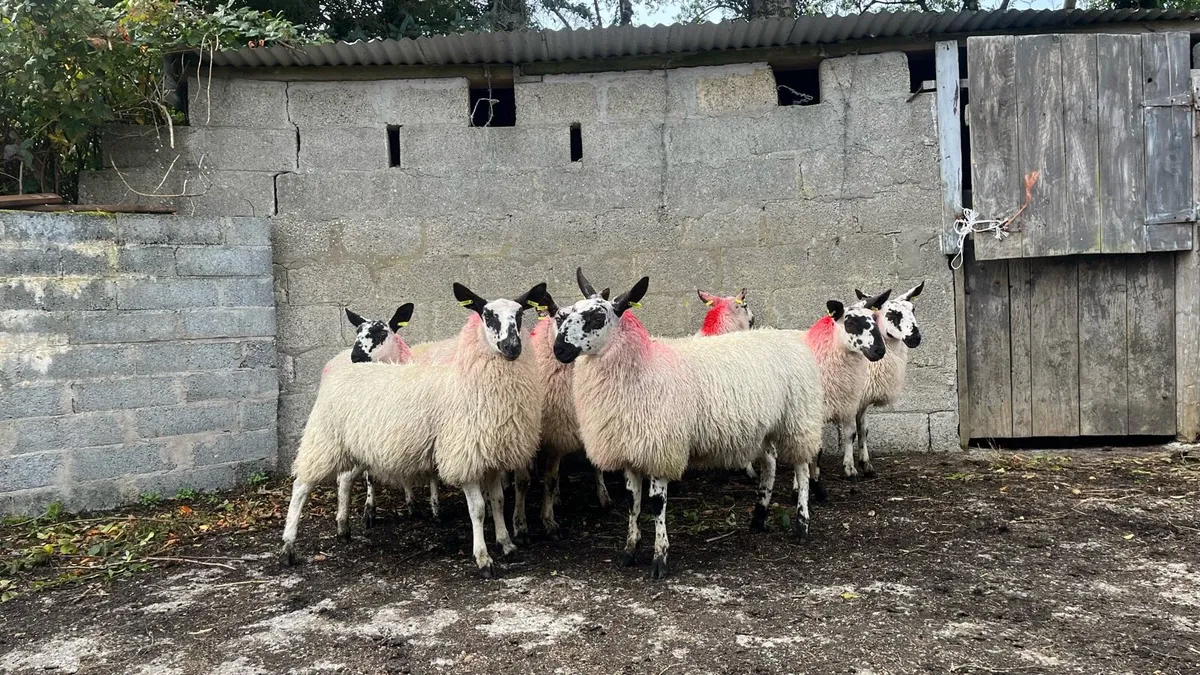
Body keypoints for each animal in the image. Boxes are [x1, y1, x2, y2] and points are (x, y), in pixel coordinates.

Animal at [281, 282, 547, 577]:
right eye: (487, 315)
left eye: (520, 314)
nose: (512, 347)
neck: (468, 381)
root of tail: (344, 367)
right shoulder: (462, 454)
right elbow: (478, 509)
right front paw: (483, 558)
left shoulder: (491, 453)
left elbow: (499, 501)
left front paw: (506, 543)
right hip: (323, 439)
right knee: (301, 487)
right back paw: (288, 547)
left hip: (354, 446)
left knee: (344, 480)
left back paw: (343, 527)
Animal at [555, 269, 825, 579]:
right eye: (566, 313)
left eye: (598, 317)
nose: (559, 349)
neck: (644, 365)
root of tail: (785, 336)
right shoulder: (631, 447)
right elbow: (632, 501)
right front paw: (629, 551)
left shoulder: (661, 447)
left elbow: (656, 504)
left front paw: (660, 559)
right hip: (766, 425)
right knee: (770, 463)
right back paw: (758, 517)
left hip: (798, 419)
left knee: (801, 468)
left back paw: (801, 525)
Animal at [802, 292, 890, 502]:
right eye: (850, 323)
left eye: (874, 319)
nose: (879, 350)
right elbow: (816, 448)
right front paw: (814, 485)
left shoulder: (849, 403)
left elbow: (851, 434)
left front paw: (850, 469)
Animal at [849, 282, 924, 478]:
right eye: (892, 314)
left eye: (914, 309)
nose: (915, 338)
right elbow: (850, 433)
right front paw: (850, 469)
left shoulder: (863, 401)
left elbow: (863, 431)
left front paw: (867, 466)